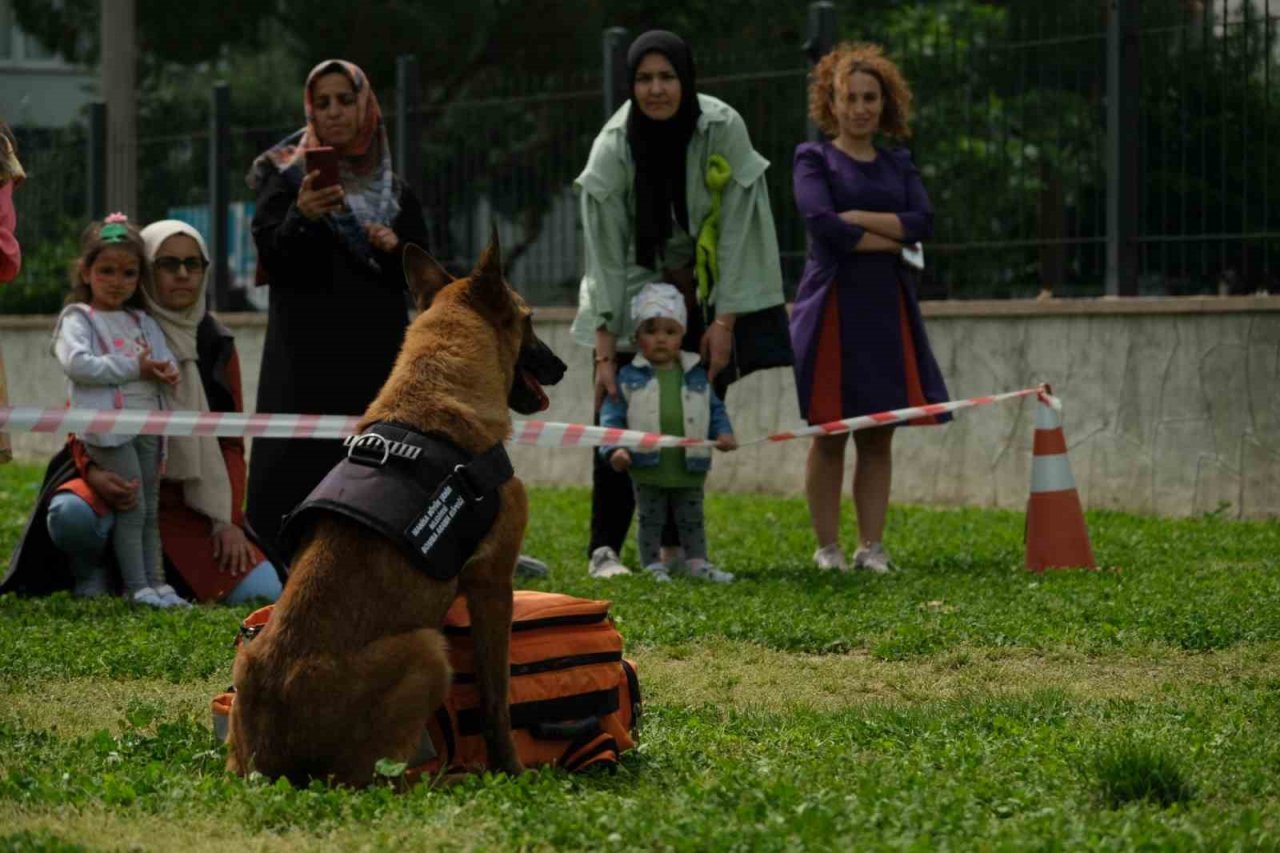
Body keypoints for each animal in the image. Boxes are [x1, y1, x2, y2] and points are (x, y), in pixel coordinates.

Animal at [229, 233, 565, 783]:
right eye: (529, 319)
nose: (561, 366)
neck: (433, 384)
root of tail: (269, 757)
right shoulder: (494, 585)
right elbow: (497, 699)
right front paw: (510, 767)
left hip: (247, 657)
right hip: (428, 651)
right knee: (375, 777)